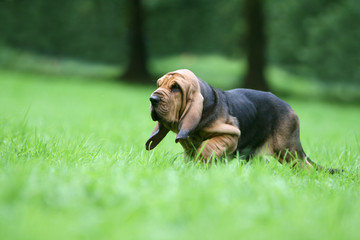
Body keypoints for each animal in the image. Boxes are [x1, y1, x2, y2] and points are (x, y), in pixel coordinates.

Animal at [146, 68, 340, 173]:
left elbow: (208, 147)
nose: (152, 99)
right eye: (159, 85)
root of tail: (291, 108)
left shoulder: (231, 135)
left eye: (176, 88)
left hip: (287, 150)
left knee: (305, 166)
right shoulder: (189, 147)